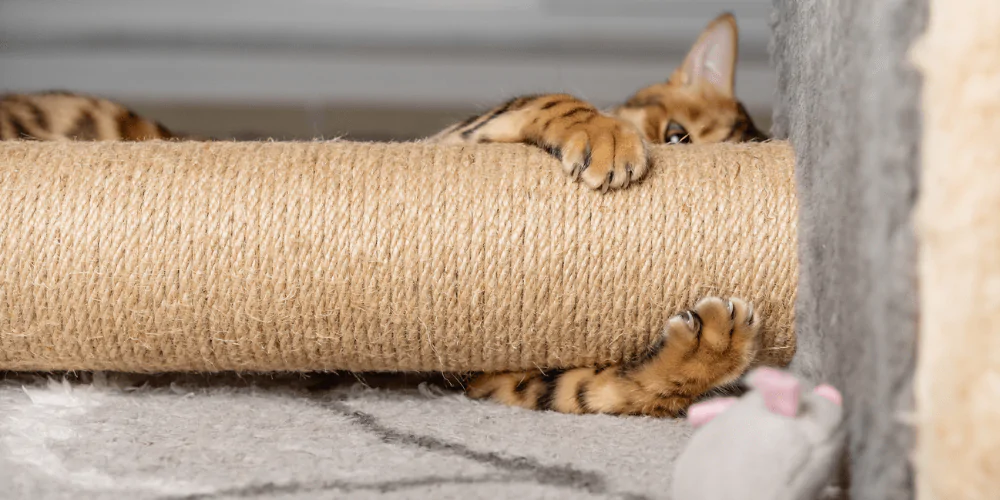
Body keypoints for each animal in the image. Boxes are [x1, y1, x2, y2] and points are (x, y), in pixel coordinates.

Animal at [1, 12, 764, 418]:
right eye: (676, 137)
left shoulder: (503, 377)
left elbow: (615, 389)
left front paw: (712, 349)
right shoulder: (456, 140)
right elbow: (552, 96)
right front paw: (606, 136)